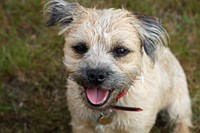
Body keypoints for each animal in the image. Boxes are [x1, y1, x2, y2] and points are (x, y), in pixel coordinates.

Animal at [43, 0, 192, 132]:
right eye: (80, 47)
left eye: (121, 50)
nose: (95, 75)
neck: (108, 109)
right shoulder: (80, 124)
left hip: (177, 105)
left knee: (183, 120)